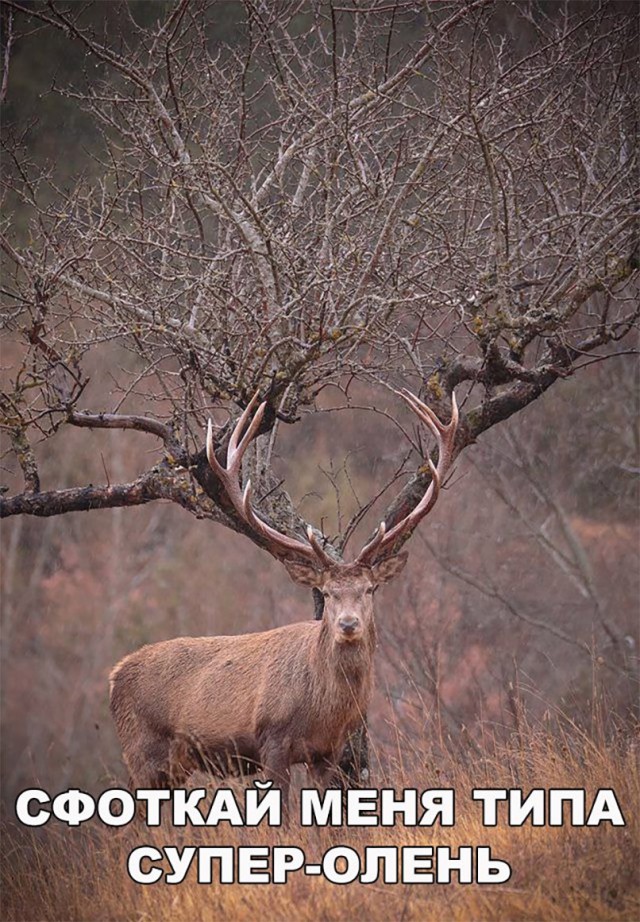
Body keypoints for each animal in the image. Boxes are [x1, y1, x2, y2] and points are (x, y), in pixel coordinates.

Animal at [111, 384, 460, 808]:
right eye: (326, 592)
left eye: (370, 588)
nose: (348, 624)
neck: (324, 710)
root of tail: (113, 677)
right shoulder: (271, 740)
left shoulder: (328, 751)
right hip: (141, 751)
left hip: (170, 767)